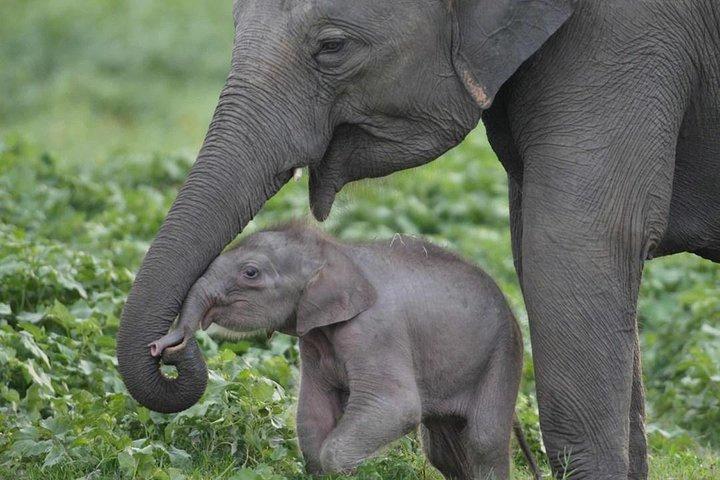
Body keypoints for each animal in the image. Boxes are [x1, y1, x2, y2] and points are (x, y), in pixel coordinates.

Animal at [148, 224, 541, 480]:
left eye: (251, 273)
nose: (163, 347)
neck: (337, 251)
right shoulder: (313, 341)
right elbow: (313, 412)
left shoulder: (376, 331)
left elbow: (395, 406)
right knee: (444, 449)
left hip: (503, 358)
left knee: (482, 442)